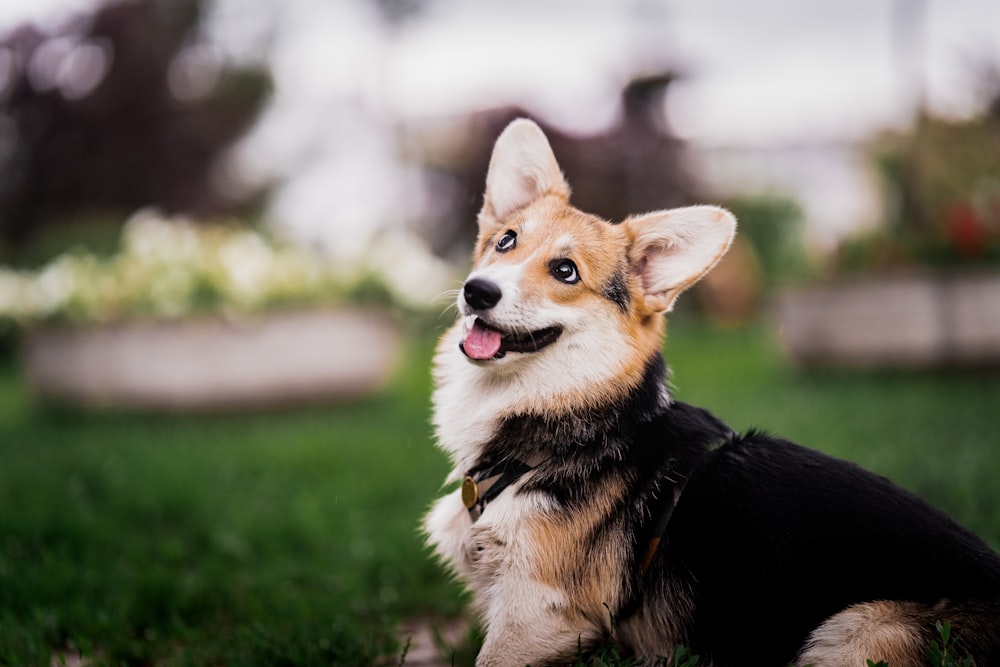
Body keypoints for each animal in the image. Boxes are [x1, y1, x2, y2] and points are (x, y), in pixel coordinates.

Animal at [422, 117, 1000, 664]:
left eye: (565, 271)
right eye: (506, 241)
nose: (477, 291)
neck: (572, 421)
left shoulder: (540, 614)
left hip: (854, 630)